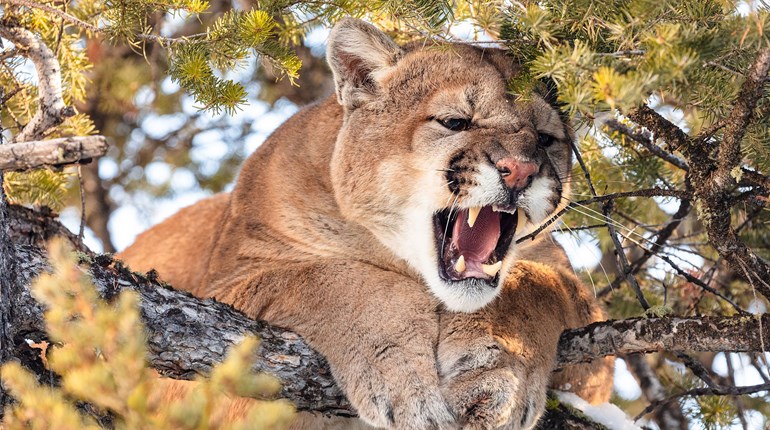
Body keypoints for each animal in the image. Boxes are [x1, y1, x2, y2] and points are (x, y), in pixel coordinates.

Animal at [120, 18, 613, 429]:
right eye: (455, 121)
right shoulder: (225, 296)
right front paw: (403, 379)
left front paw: (493, 381)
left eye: (546, 139)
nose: (521, 170)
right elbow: (332, 279)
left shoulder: (585, 330)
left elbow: (533, 286)